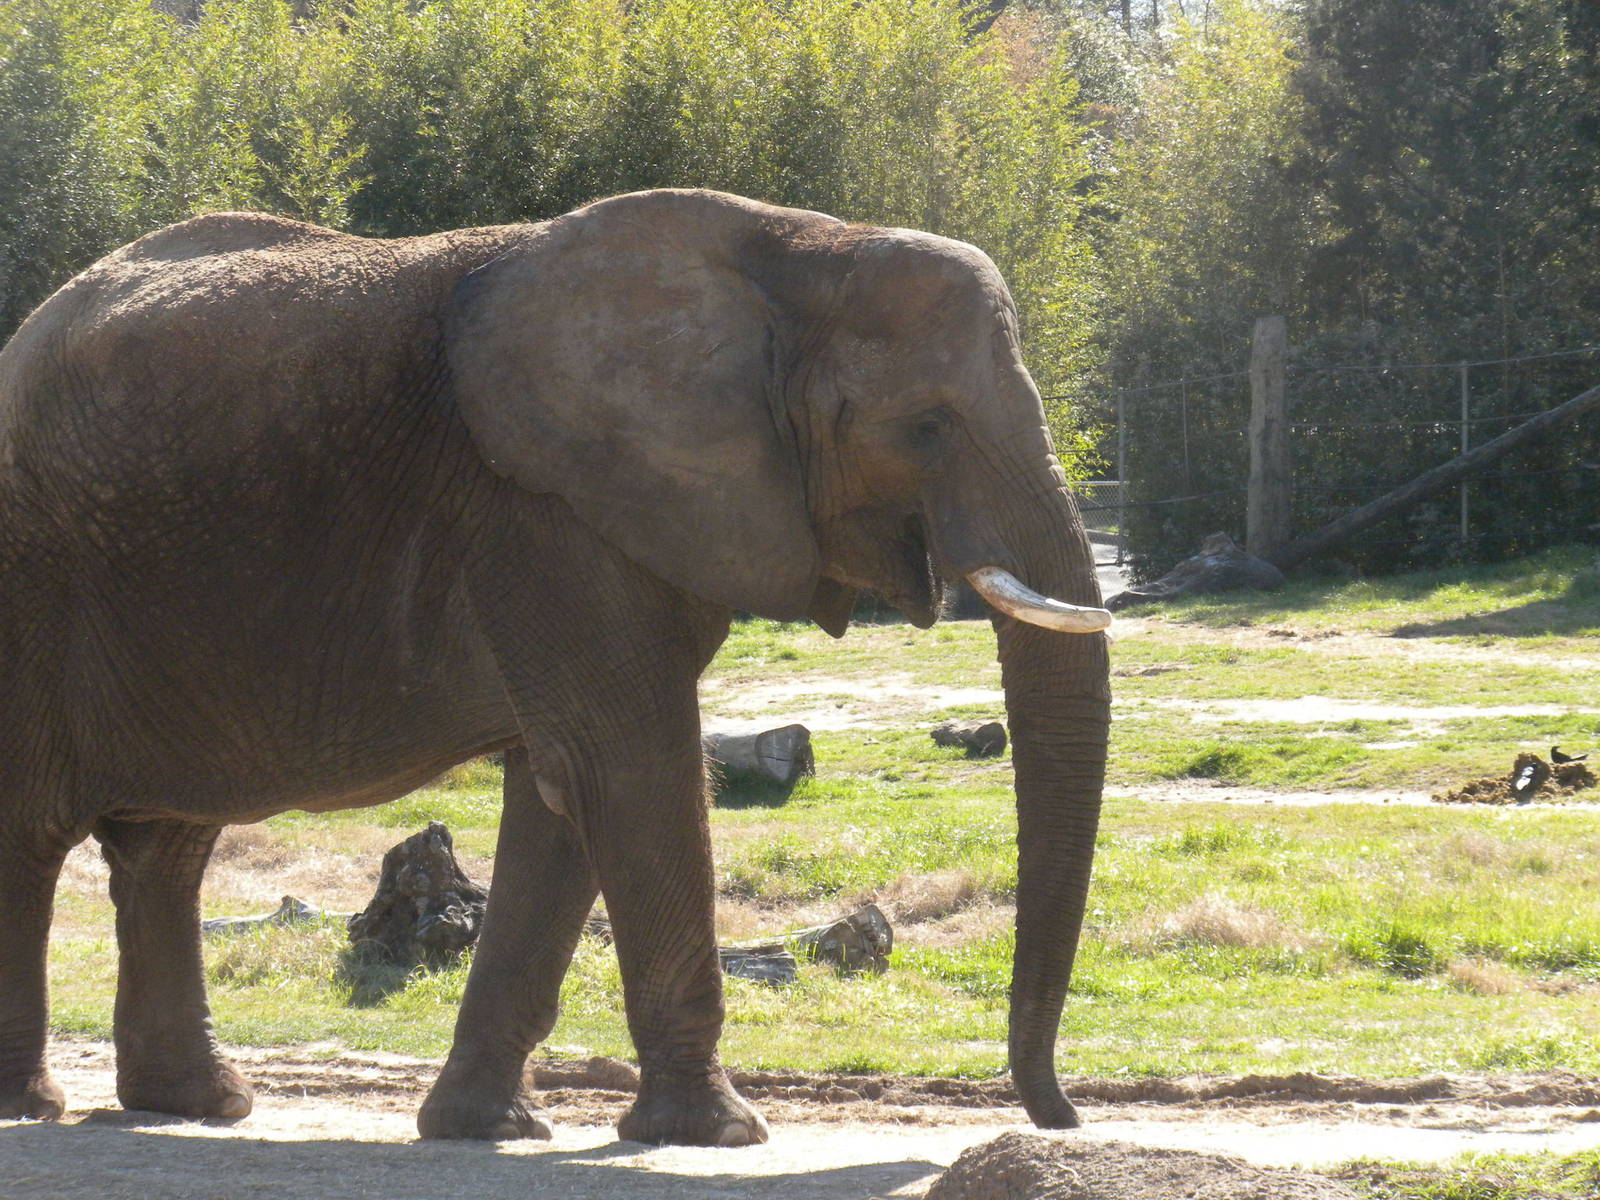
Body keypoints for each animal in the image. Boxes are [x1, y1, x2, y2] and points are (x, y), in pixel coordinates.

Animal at [0, 188, 1111, 1146]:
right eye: (923, 425)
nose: (1060, 1117)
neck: (801, 249)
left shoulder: (610, 512)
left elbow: (564, 790)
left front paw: (486, 1129)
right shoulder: (542, 507)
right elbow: (629, 768)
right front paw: (719, 1134)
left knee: (168, 848)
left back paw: (200, 1106)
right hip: (35, 588)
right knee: (34, 834)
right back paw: (39, 1108)